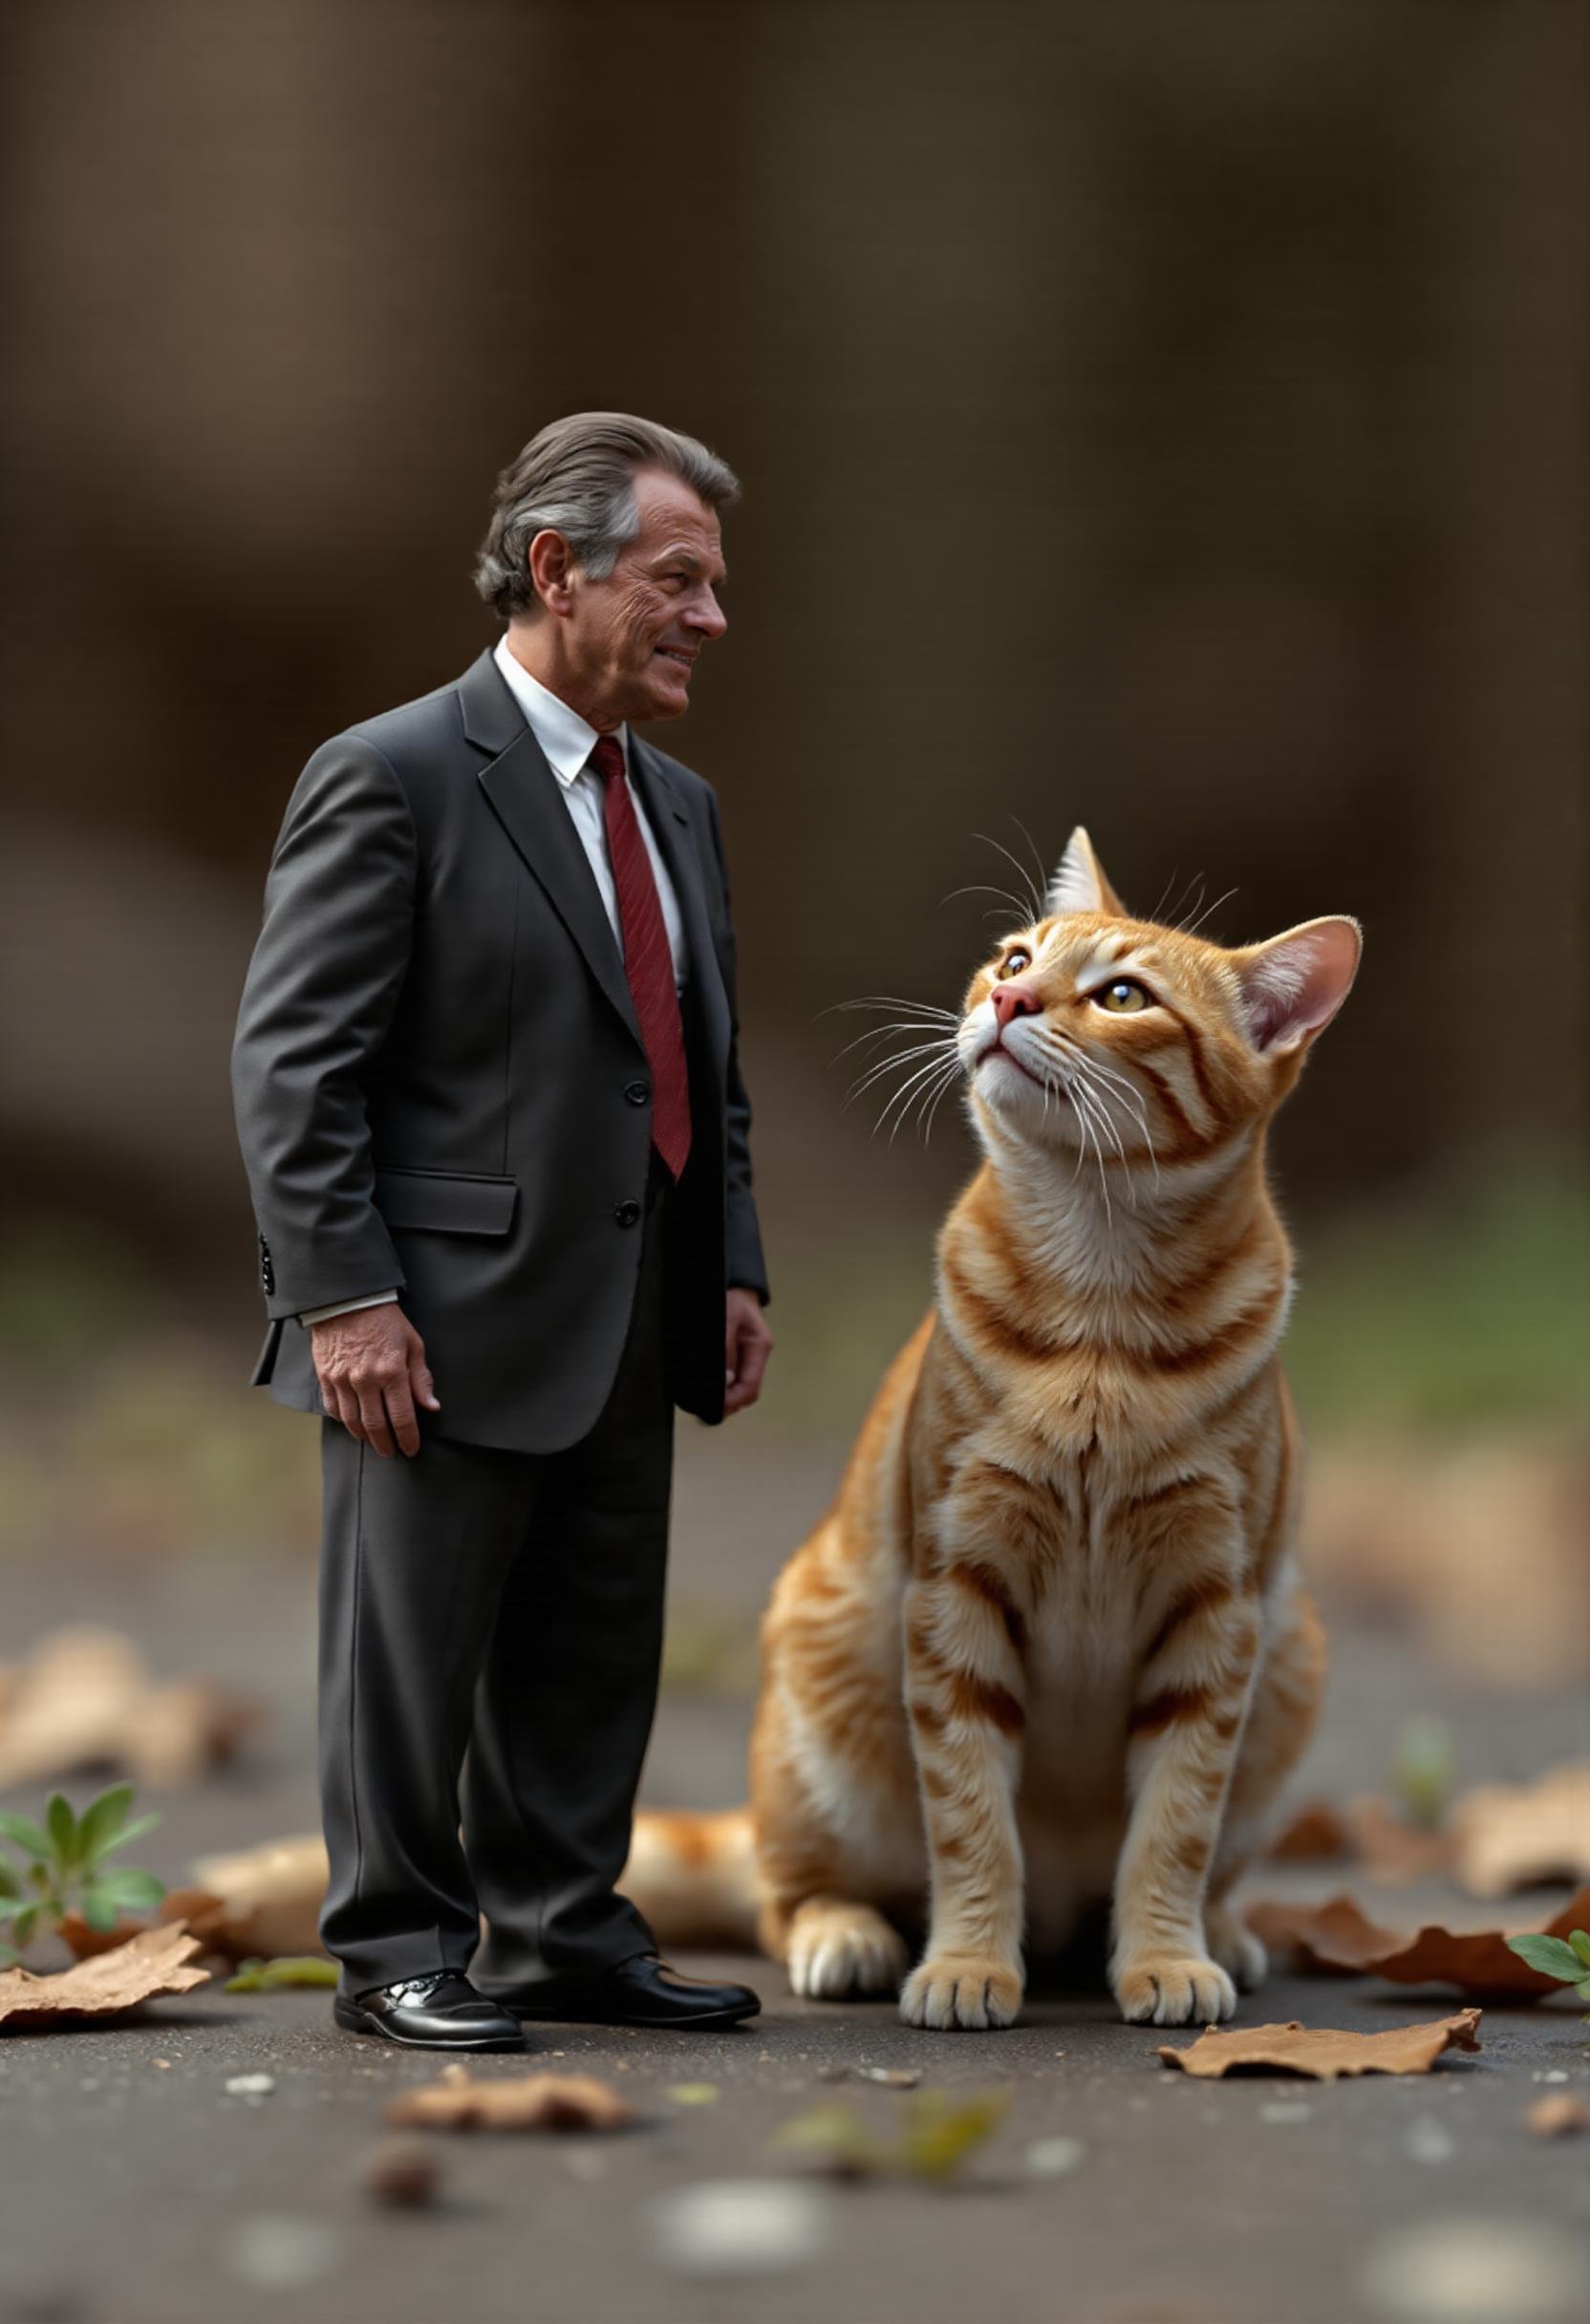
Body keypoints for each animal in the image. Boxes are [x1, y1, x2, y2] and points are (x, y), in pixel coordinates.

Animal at [632, 827, 1357, 2026]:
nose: (1009, 997)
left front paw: (1163, 1952)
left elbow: (1175, 1825)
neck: (1101, 1313)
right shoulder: (954, 1587)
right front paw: (968, 1959)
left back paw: (1216, 1929)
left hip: (1288, 1663)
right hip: (825, 1700)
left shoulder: (1216, 1616)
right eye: (1015, 954)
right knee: (784, 1891)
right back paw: (846, 1933)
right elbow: (970, 1816)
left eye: (1120, 994)